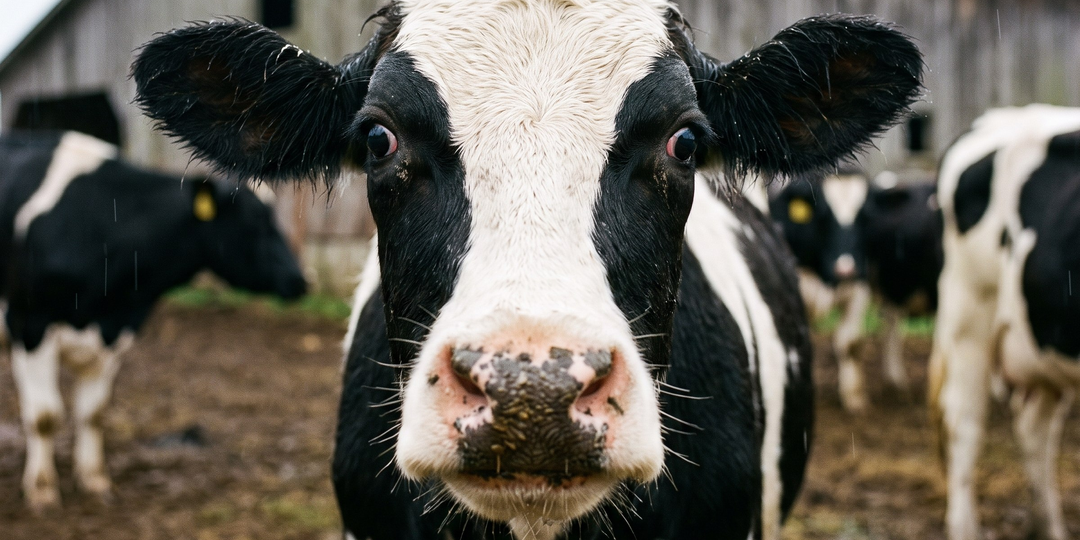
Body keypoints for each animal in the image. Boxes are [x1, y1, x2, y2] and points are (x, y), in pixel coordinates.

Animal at [0, 130, 307, 511]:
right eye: (254, 225)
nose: (300, 281)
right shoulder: (29, 323)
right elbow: (44, 416)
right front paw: (42, 490)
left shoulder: (117, 331)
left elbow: (93, 413)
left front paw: (95, 480)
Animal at [771, 169, 941, 411]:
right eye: (822, 216)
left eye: (866, 218)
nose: (846, 269)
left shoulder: (860, 287)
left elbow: (851, 342)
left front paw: (854, 397)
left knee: (892, 320)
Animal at [930, 104, 1080, 540]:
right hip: (968, 315)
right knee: (964, 422)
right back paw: (964, 528)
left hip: (1042, 340)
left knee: (1035, 430)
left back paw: (1049, 527)